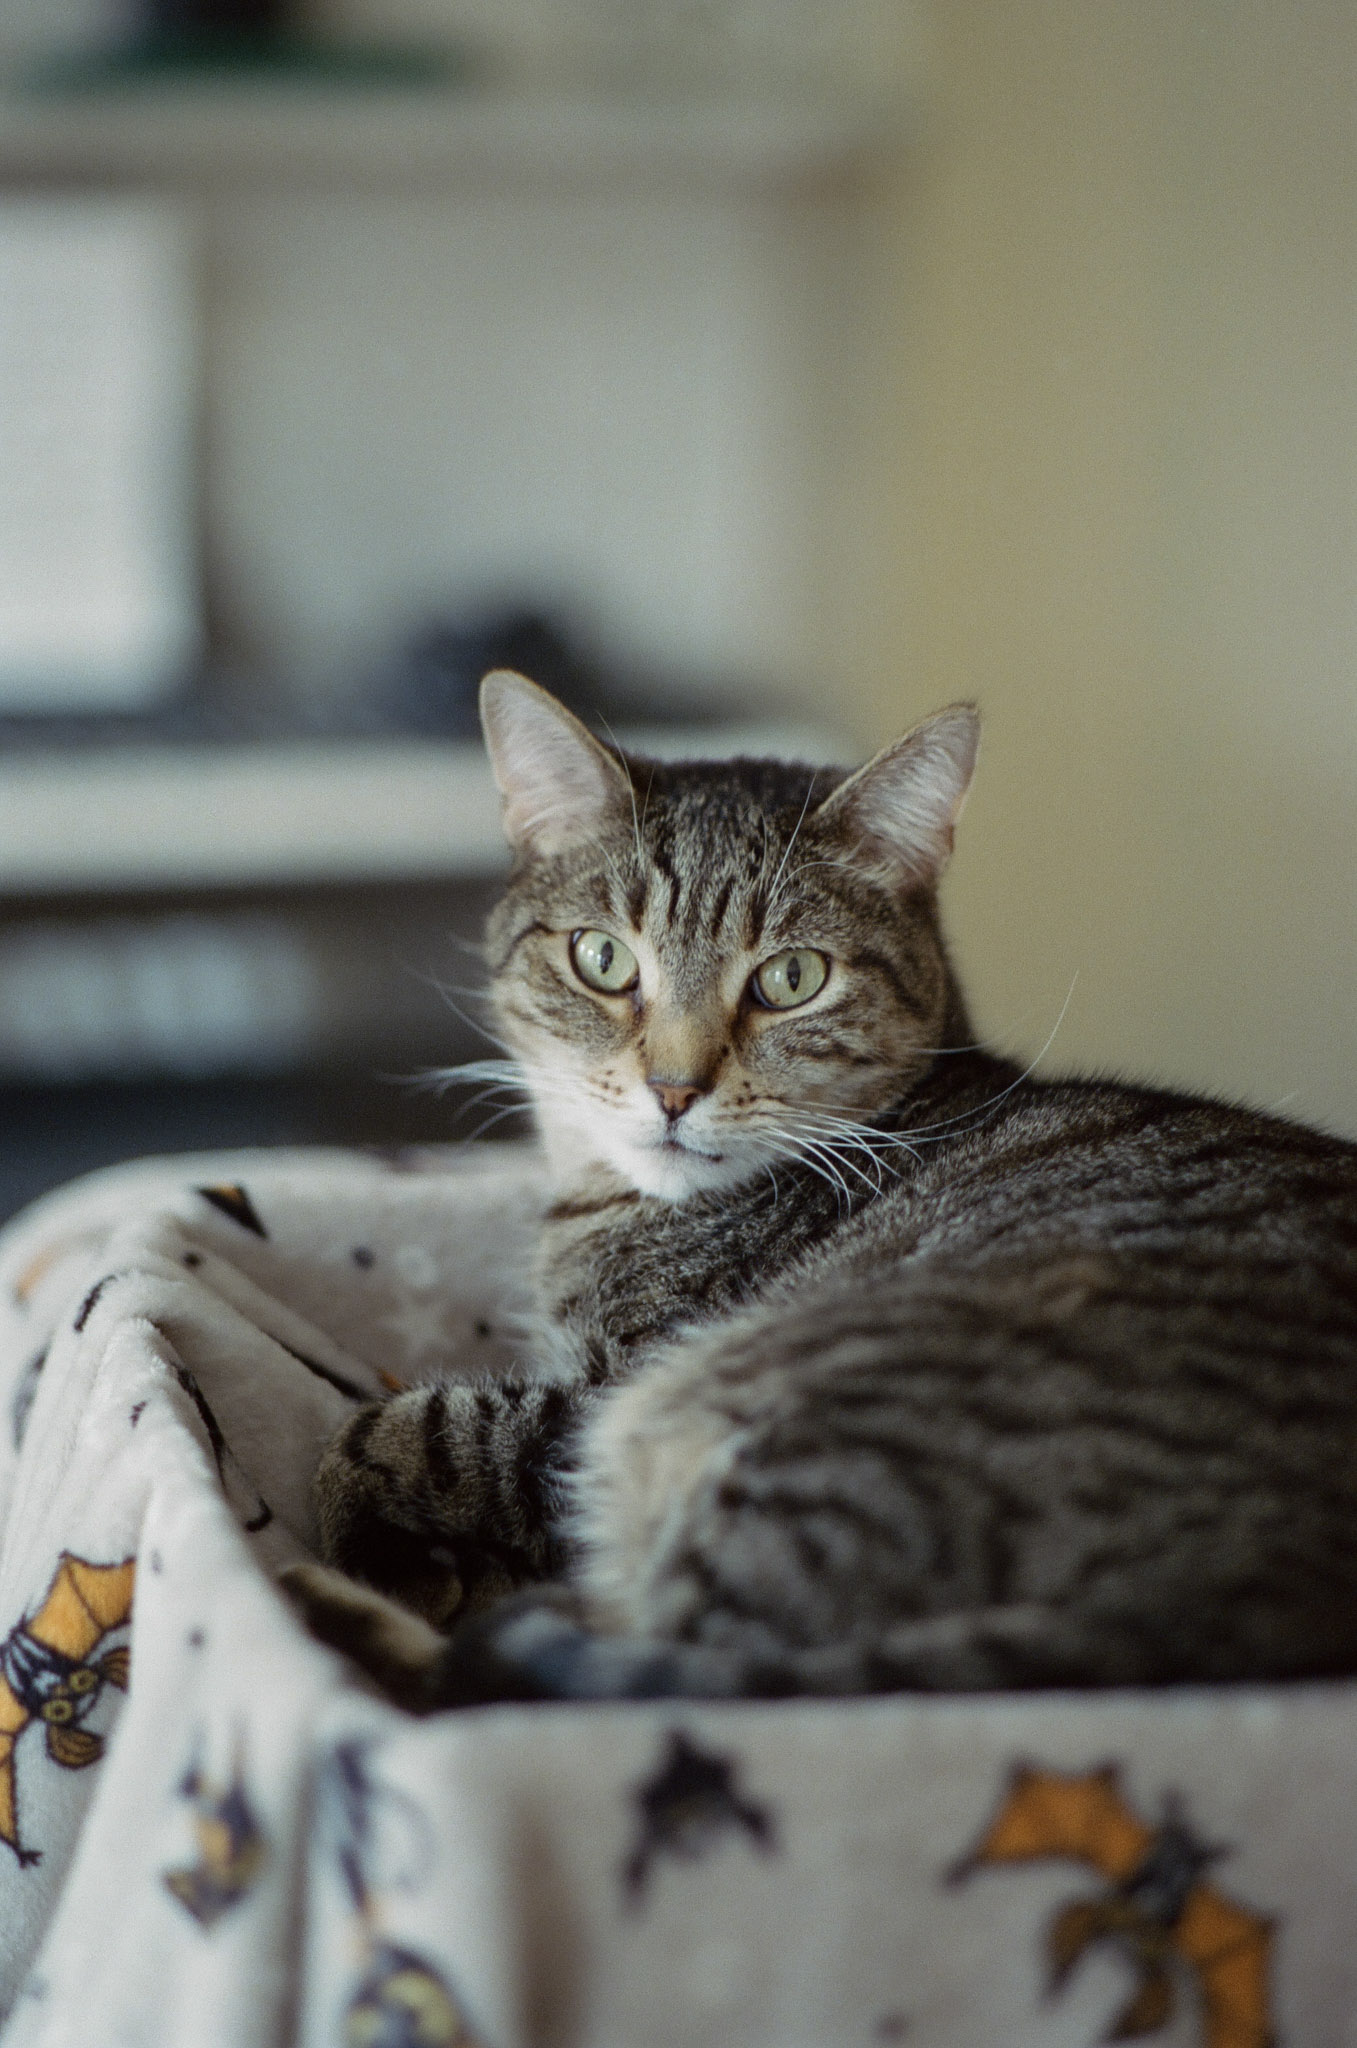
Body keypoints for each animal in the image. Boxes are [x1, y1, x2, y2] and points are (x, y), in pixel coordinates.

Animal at [292, 675, 1357, 1712]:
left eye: (792, 978)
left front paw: (378, 1539)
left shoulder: (599, 1396)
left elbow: (405, 1424)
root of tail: (1260, 1580)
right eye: (602, 959)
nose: (672, 1089)